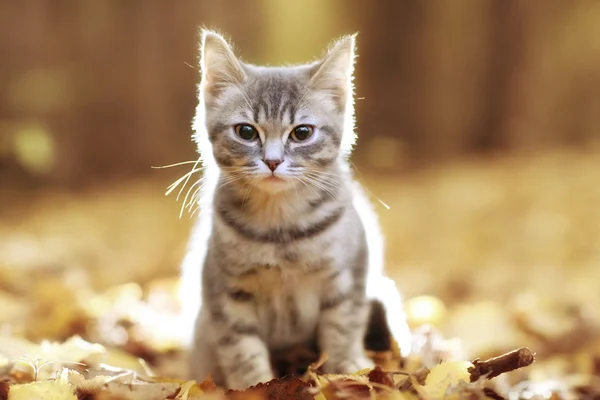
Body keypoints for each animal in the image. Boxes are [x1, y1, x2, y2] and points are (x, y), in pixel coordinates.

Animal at [179, 28, 412, 390]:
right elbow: (241, 349)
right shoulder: (225, 293)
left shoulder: (348, 280)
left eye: (302, 133)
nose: (273, 161)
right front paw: (252, 387)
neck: (281, 229)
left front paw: (346, 373)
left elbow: (342, 330)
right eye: (246, 131)